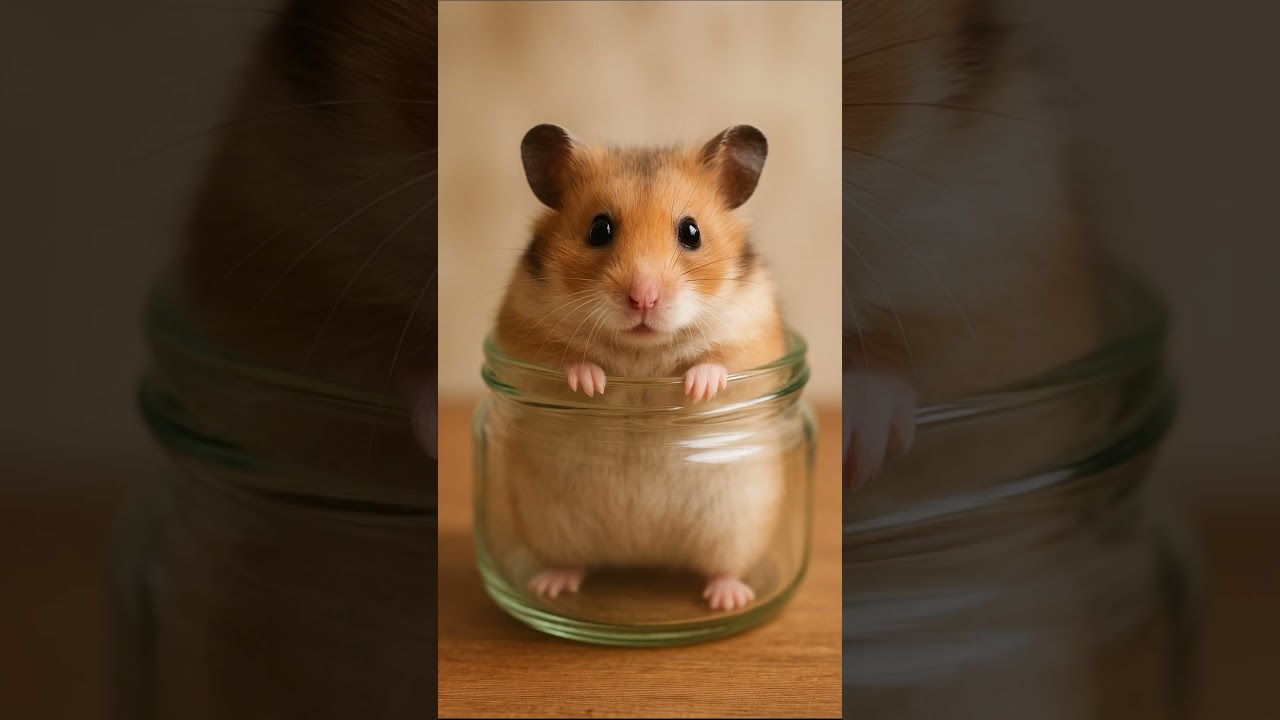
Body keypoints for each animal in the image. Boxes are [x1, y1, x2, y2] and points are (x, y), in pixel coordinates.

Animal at [490, 124, 789, 610]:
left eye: (692, 232)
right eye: (599, 229)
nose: (643, 299)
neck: (641, 352)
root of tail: (640, 553)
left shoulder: (754, 332)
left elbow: (720, 361)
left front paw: (697, 387)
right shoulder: (522, 331)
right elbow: (564, 359)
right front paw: (591, 385)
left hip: (737, 528)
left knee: (724, 567)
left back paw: (730, 598)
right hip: (551, 526)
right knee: (567, 562)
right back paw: (549, 586)